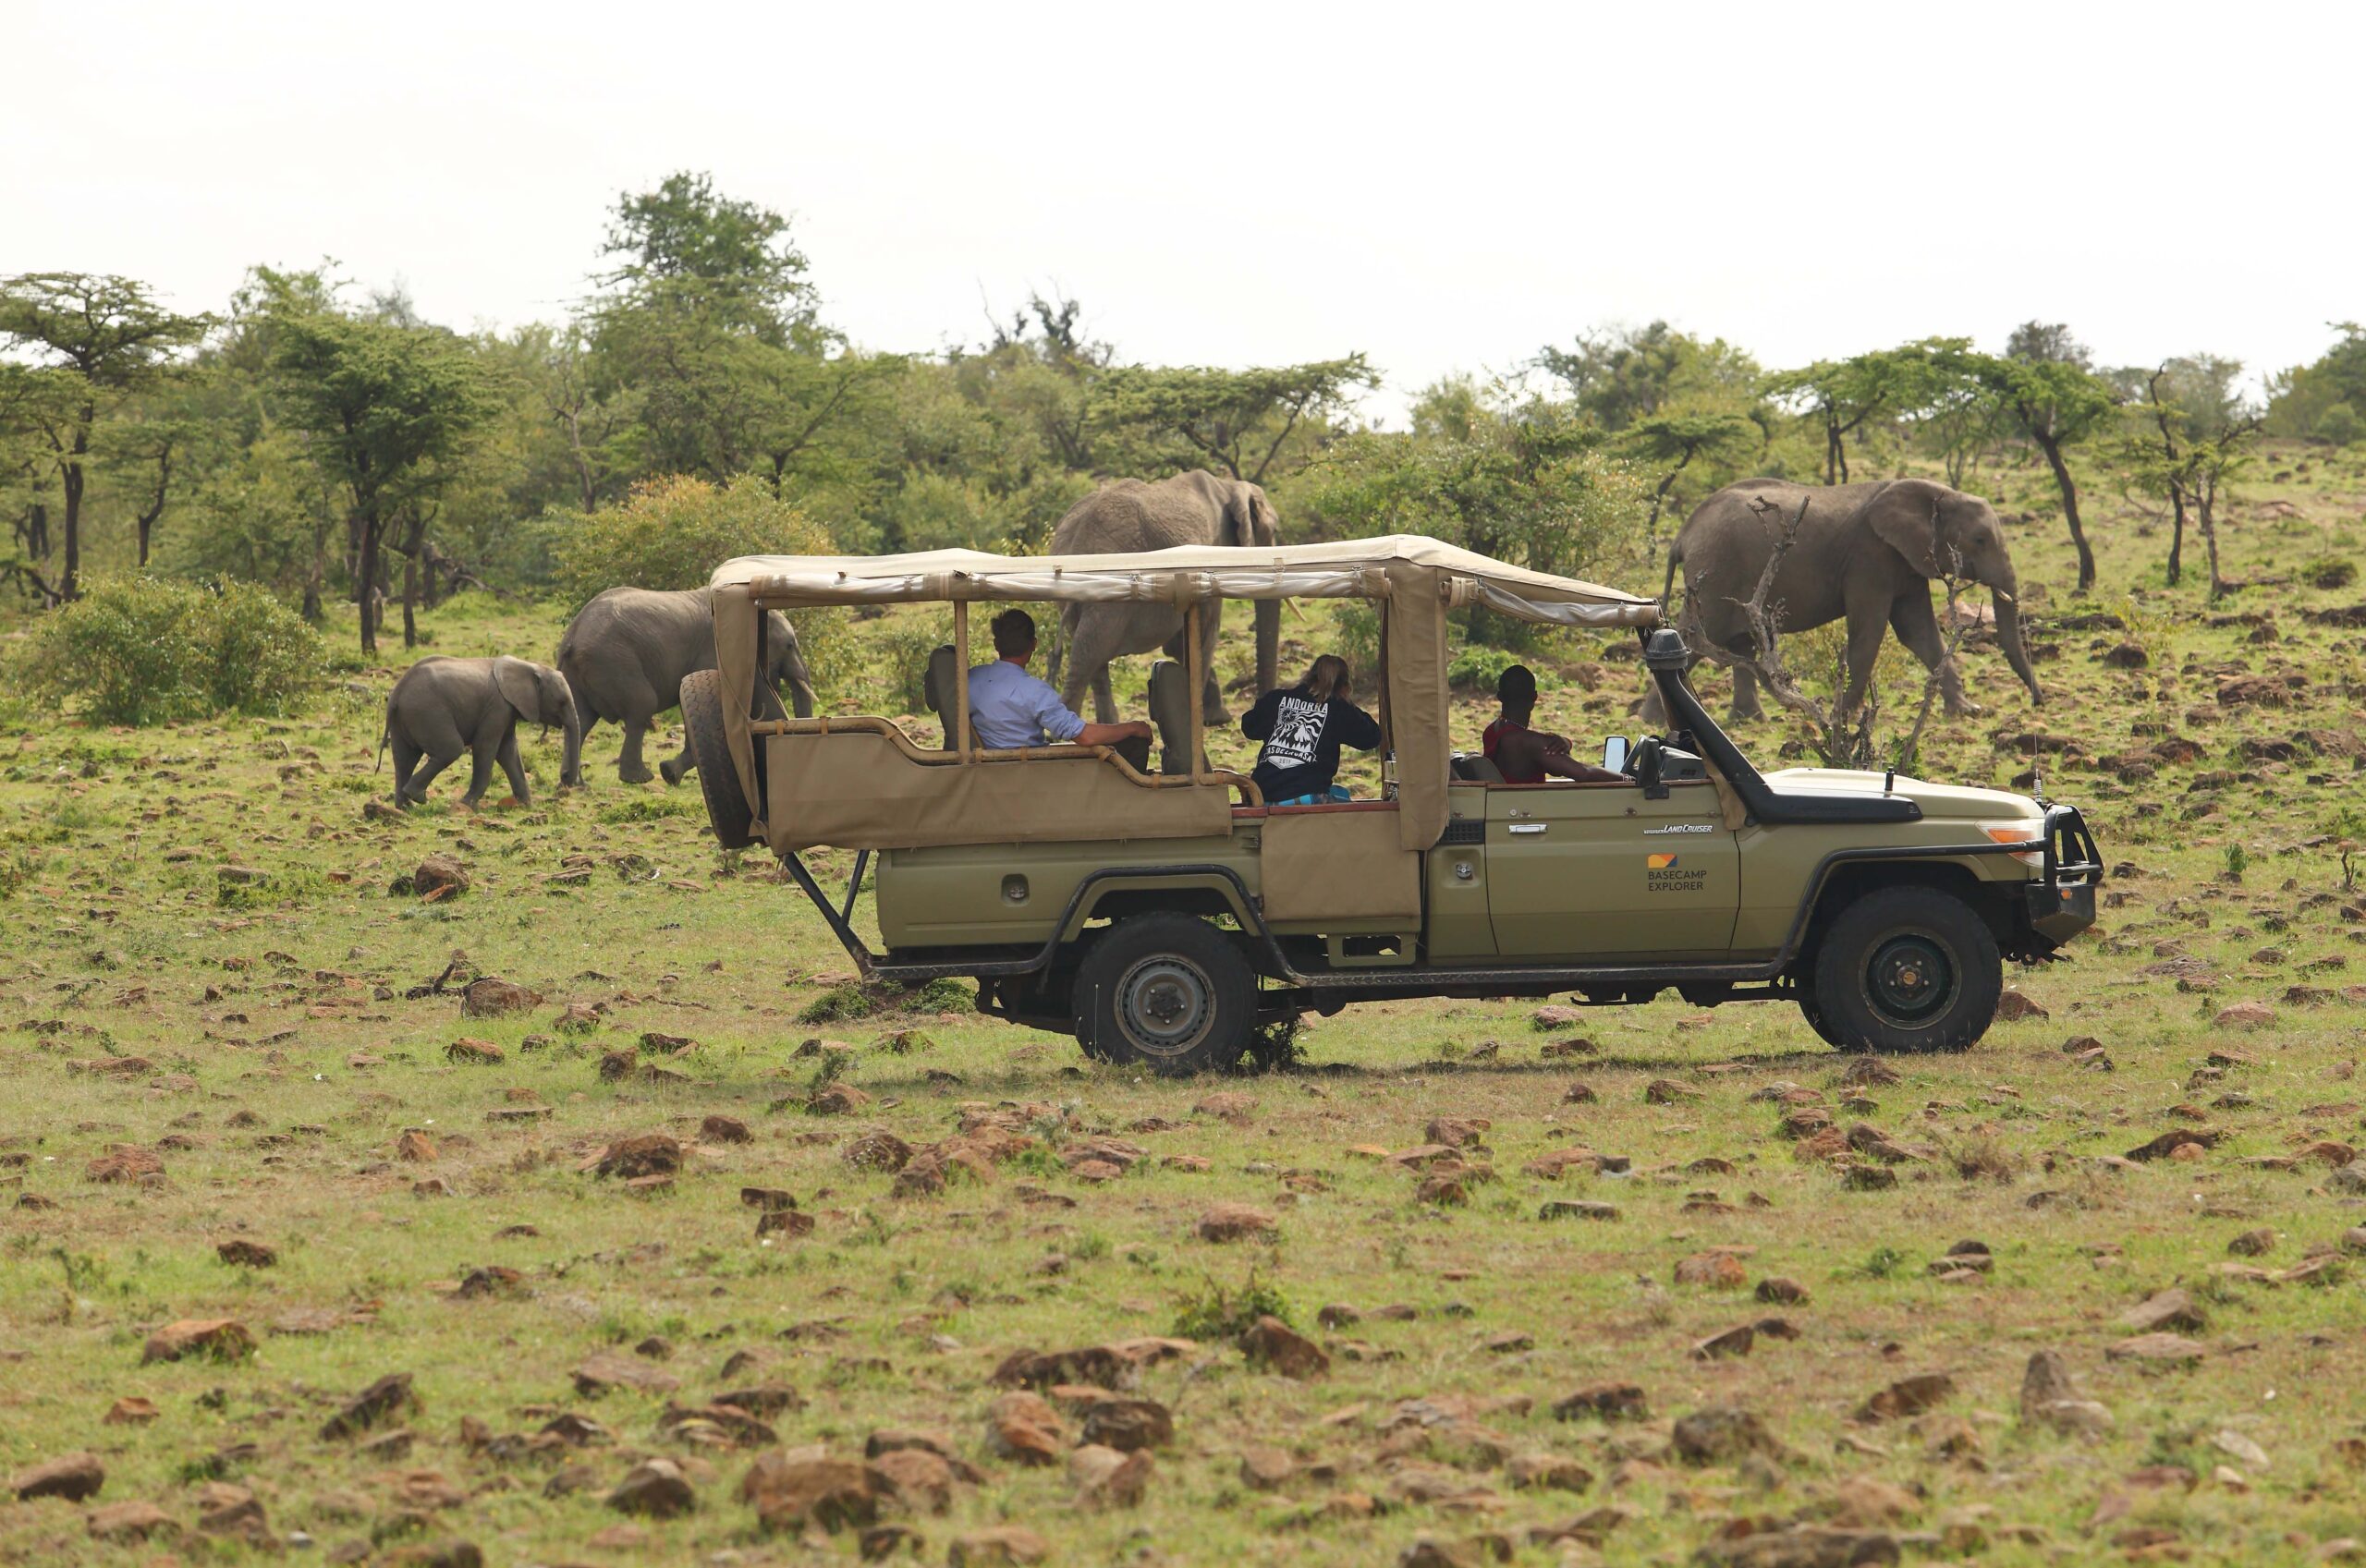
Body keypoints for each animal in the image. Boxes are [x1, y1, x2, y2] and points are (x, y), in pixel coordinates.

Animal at [380, 655, 581, 808]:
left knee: (405, 759)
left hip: (406, 718)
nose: (565, 779)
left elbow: (508, 752)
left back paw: (405, 807)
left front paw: (526, 805)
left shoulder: (507, 710)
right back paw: (418, 797)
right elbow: (485, 747)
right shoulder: (497, 708)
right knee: (450, 749)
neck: (529, 666)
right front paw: (466, 804)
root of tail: (397, 693)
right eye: (562, 702)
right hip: (428, 712)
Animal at [555, 586, 816, 786]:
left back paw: (574, 783)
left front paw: (670, 773)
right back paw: (640, 778)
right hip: (614, 662)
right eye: (790, 645)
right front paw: (670, 774)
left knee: (580, 720)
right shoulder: (716, 653)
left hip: (582, 670)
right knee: (641, 708)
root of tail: (572, 636)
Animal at [1044, 470, 1280, 724]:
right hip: (1105, 600)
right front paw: (1213, 719)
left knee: (1094, 663)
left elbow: (1180, 644)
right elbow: (1204, 634)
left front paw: (1217, 718)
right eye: (1274, 531)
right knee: (1087, 659)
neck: (1228, 486)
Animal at [1662, 477, 2044, 722]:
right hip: (1715, 571)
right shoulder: (1869, 556)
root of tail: (1683, 533)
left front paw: (1966, 711)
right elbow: (1871, 628)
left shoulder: (1905, 560)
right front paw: (1842, 717)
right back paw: (1656, 721)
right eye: (1980, 540)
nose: (2038, 703)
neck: (1939, 493)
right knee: (1696, 637)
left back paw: (1749, 721)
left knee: (1739, 646)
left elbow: (1919, 632)